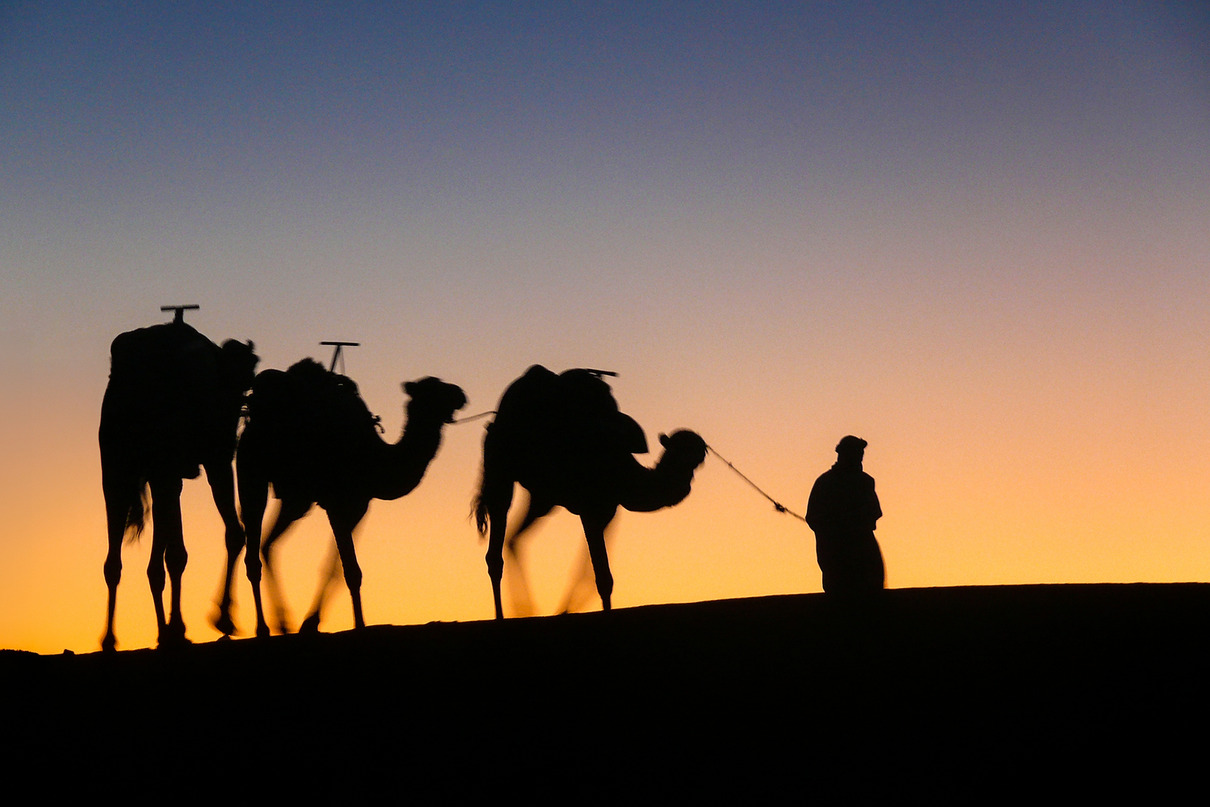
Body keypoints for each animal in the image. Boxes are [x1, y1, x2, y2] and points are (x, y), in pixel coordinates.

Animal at [99, 316, 257, 648]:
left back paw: (111, 638)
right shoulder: (214, 459)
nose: (244, 405)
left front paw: (175, 629)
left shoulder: (167, 475)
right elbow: (232, 534)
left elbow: (169, 554)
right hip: (159, 464)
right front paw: (222, 617)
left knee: (116, 560)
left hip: (118, 468)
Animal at [233, 360, 464, 638]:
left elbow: (337, 569)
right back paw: (262, 627)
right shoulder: (335, 503)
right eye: (433, 389)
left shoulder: (359, 507)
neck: (373, 457)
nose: (460, 394)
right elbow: (351, 570)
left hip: (296, 500)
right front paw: (359, 624)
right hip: (251, 473)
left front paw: (311, 623)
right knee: (253, 549)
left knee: (268, 544)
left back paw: (283, 622)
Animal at [474, 365, 706, 619]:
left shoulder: (608, 511)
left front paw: (565, 609)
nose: (688, 479)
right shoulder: (590, 507)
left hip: (543, 499)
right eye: (686, 450)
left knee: (514, 538)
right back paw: (501, 616)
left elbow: (590, 573)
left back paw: (525, 608)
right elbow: (603, 578)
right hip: (499, 468)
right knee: (496, 545)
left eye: (700, 452)